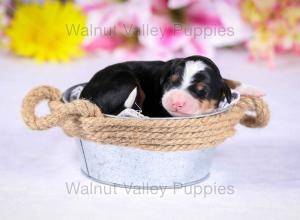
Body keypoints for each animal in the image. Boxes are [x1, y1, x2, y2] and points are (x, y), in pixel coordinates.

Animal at [80, 55, 264, 117]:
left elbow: (227, 80)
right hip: (125, 79)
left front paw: (253, 89)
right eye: (171, 82)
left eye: (202, 91)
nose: (176, 102)